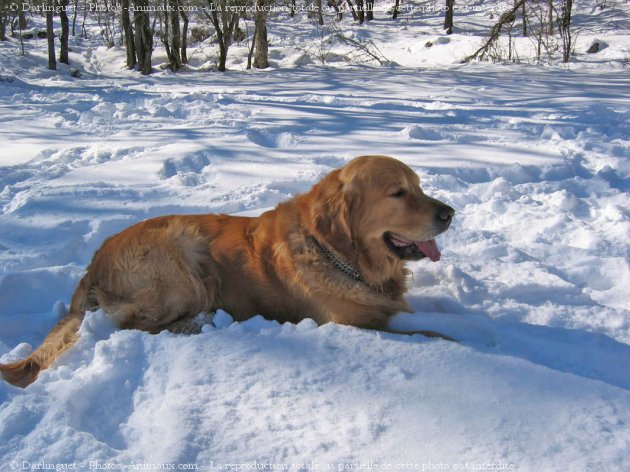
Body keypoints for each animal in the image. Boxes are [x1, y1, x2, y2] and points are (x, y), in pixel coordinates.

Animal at [0, 156, 454, 388]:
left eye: (419, 185)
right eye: (398, 193)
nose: (449, 212)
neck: (337, 254)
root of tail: (94, 262)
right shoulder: (352, 323)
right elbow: (433, 333)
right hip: (182, 264)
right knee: (133, 327)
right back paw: (201, 323)